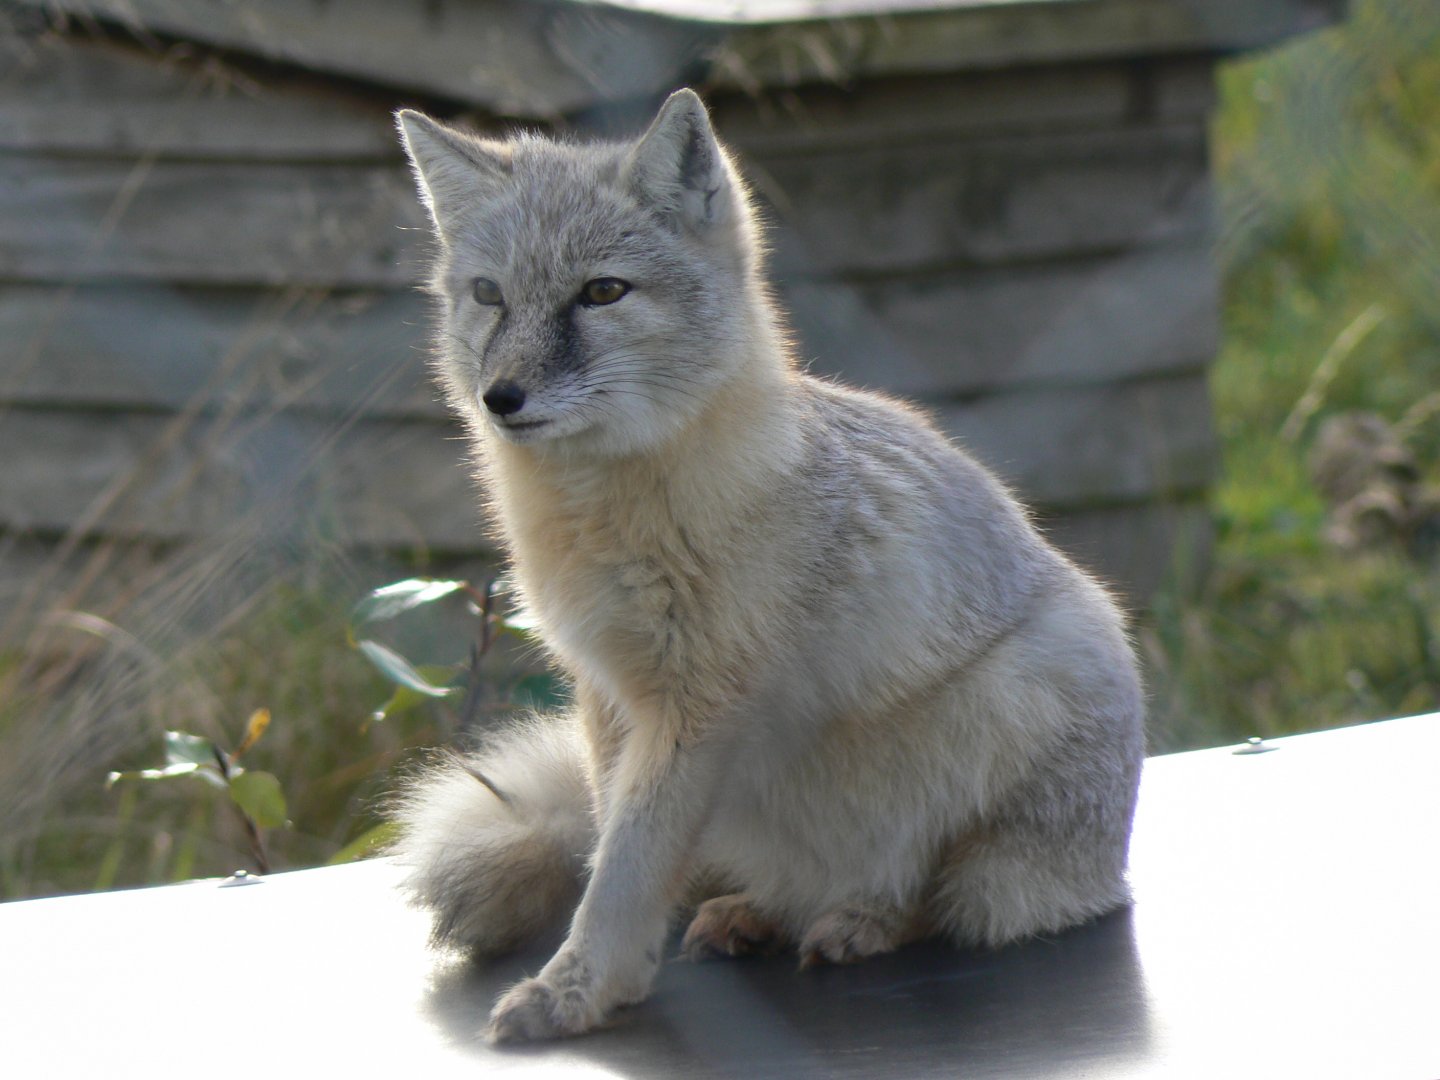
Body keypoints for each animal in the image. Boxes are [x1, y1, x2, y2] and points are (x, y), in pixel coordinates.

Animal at [392, 89, 1145, 1044]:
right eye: (489, 295)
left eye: (601, 292)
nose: (501, 399)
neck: (611, 523)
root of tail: (1111, 868)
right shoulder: (609, 694)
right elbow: (613, 844)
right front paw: (601, 975)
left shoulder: (698, 709)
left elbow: (625, 866)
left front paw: (578, 989)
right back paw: (757, 912)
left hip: (1005, 716)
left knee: (942, 893)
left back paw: (864, 917)